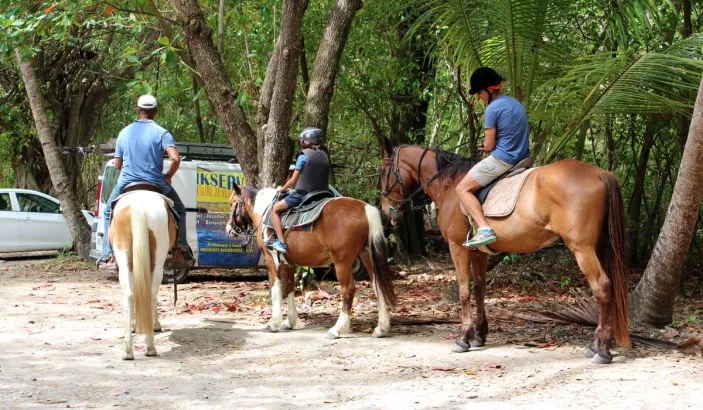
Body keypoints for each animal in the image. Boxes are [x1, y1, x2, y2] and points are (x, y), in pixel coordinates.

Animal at [109, 190, 177, 360]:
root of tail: (138, 206)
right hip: (157, 263)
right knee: (149, 294)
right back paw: (150, 343)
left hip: (126, 261)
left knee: (131, 295)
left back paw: (130, 350)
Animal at [226, 184, 396, 339]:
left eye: (232, 202)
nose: (228, 229)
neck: (266, 211)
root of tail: (365, 209)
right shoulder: (289, 263)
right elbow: (289, 288)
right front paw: (290, 322)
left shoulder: (271, 259)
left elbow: (276, 289)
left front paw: (274, 323)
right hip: (367, 256)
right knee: (378, 286)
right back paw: (381, 328)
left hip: (342, 262)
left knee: (348, 290)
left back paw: (337, 329)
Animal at [379, 139, 629, 364]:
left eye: (384, 171)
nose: (386, 211)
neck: (450, 186)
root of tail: (600, 173)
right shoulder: (478, 253)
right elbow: (479, 289)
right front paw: (479, 335)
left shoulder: (457, 247)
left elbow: (464, 291)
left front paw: (463, 338)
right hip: (599, 246)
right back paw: (597, 343)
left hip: (582, 249)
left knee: (603, 287)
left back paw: (602, 350)